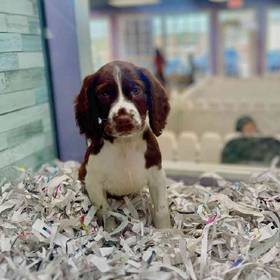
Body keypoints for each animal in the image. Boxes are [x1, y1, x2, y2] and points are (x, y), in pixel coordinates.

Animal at [75, 60, 171, 229]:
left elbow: (161, 210)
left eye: (136, 90)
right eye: (104, 94)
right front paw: (111, 231)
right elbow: (106, 212)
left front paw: (167, 232)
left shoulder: (157, 175)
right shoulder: (93, 182)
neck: (125, 144)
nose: (123, 119)